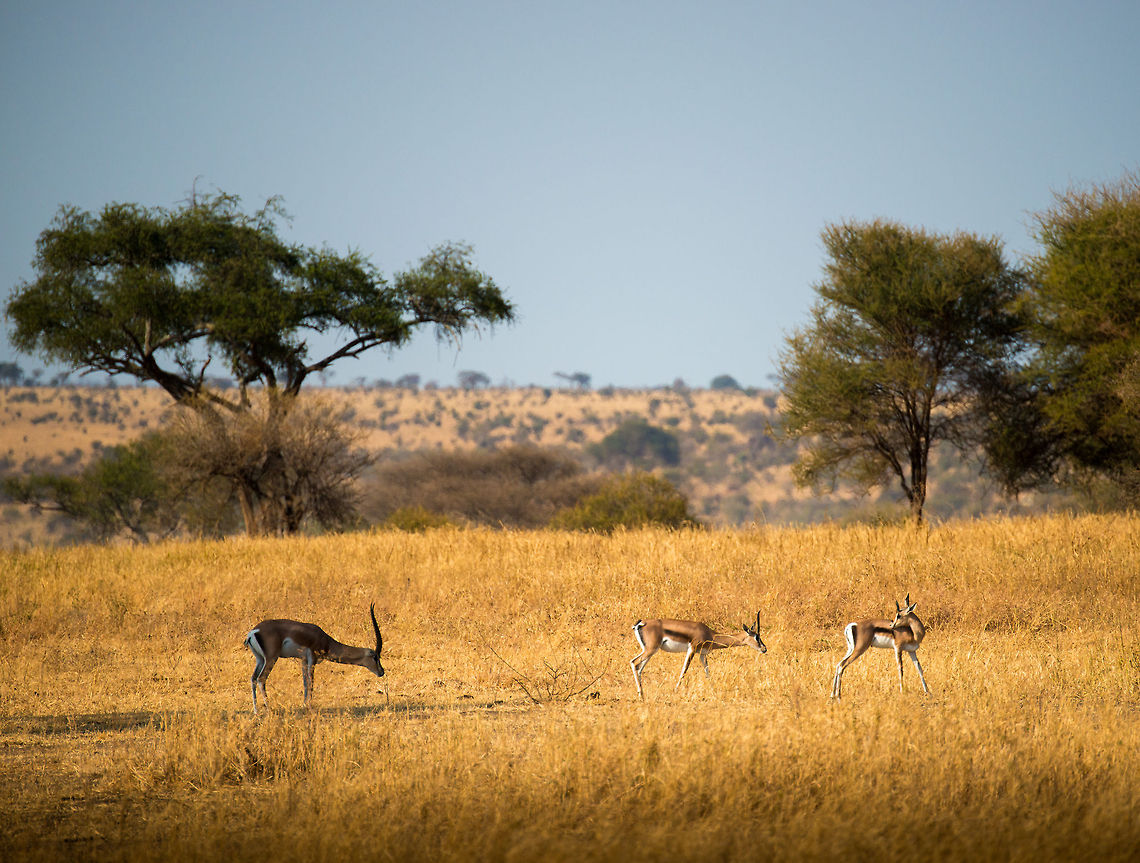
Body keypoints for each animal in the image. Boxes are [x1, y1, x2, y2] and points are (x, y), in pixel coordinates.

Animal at [244, 603, 384, 712]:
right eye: (375, 657)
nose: (381, 672)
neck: (325, 640)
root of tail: (254, 632)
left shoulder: (303, 660)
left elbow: (305, 683)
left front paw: (304, 704)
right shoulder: (312, 658)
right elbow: (311, 682)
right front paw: (309, 706)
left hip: (260, 659)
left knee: (253, 678)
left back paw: (256, 711)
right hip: (271, 658)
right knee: (261, 679)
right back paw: (269, 708)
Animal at [630, 611, 767, 698]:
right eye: (756, 637)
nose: (764, 649)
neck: (710, 634)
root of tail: (641, 623)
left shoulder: (702, 654)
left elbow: (707, 673)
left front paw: (713, 691)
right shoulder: (692, 649)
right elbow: (684, 670)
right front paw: (675, 690)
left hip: (650, 651)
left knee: (639, 668)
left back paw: (642, 694)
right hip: (651, 649)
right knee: (634, 663)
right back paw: (641, 696)